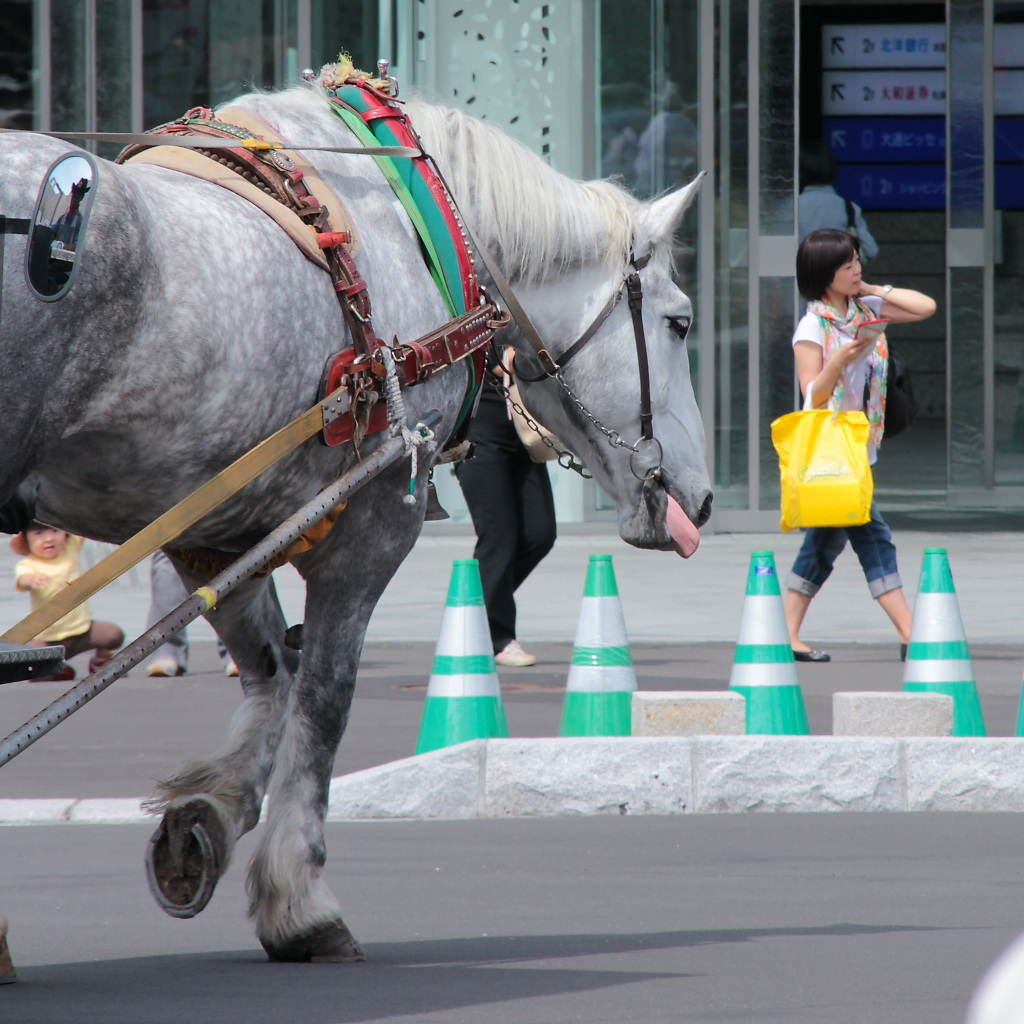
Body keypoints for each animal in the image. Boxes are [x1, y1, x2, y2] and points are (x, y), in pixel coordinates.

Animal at [0, 81, 712, 958]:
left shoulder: (209, 515)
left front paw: (210, 816)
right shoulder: (371, 521)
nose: (701, 498)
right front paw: (299, 895)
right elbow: (324, 696)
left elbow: (273, 672)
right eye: (680, 323)